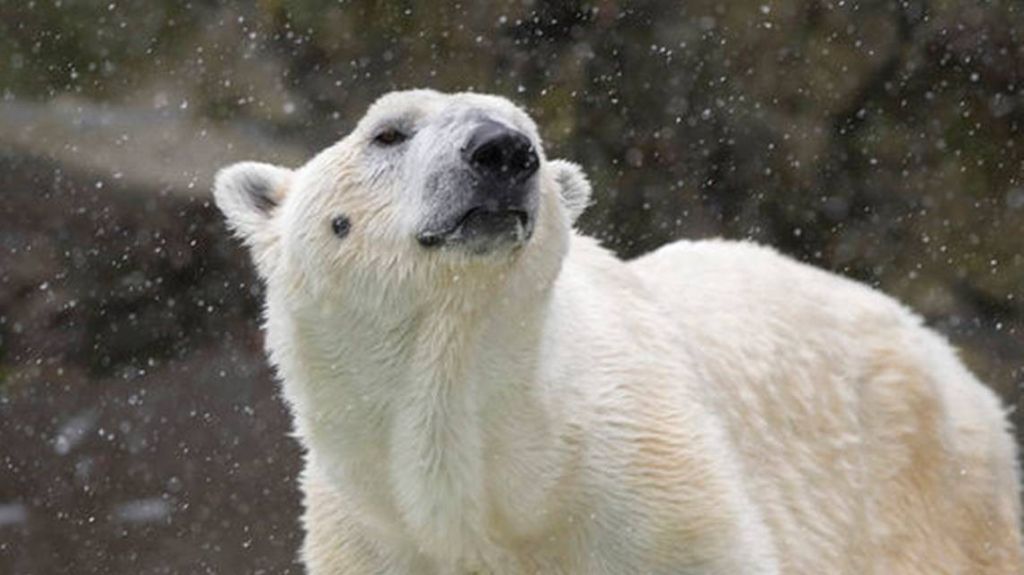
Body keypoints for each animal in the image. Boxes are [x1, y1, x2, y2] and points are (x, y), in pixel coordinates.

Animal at [214, 89, 1022, 574]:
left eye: (531, 134)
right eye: (387, 131)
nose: (501, 151)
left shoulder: (658, 493)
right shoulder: (378, 536)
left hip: (931, 503)